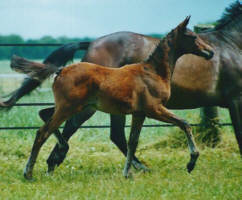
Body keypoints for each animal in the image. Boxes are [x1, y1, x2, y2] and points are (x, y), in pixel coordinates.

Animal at [1, 1, 242, 172]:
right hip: (83, 106)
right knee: (61, 127)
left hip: (89, 106)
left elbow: (135, 139)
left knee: (56, 120)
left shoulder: (141, 111)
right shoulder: (233, 100)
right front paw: (192, 162)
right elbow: (195, 126)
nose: (210, 52)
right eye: (192, 36)